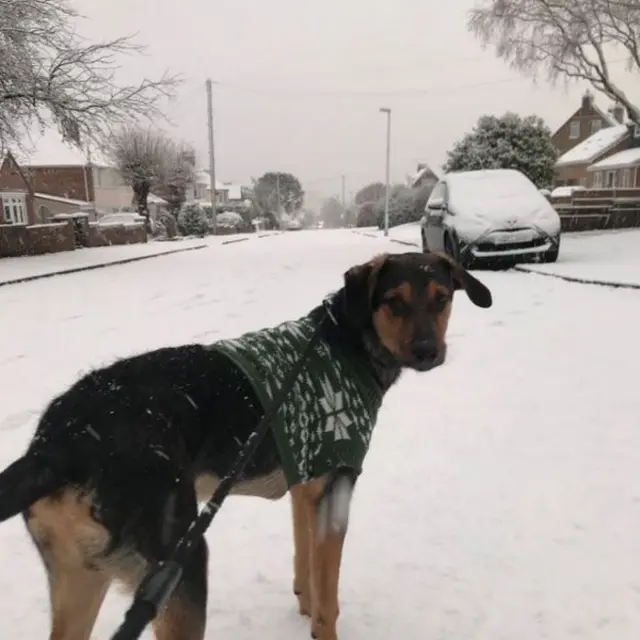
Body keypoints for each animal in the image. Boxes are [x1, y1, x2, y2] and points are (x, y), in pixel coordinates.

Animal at [0, 250, 492, 640]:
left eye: (442, 298)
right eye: (394, 302)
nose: (428, 351)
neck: (345, 340)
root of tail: (58, 445)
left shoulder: (305, 484)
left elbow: (306, 566)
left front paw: (303, 606)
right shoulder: (337, 490)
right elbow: (329, 600)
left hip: (80, 580)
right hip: (181, 567)